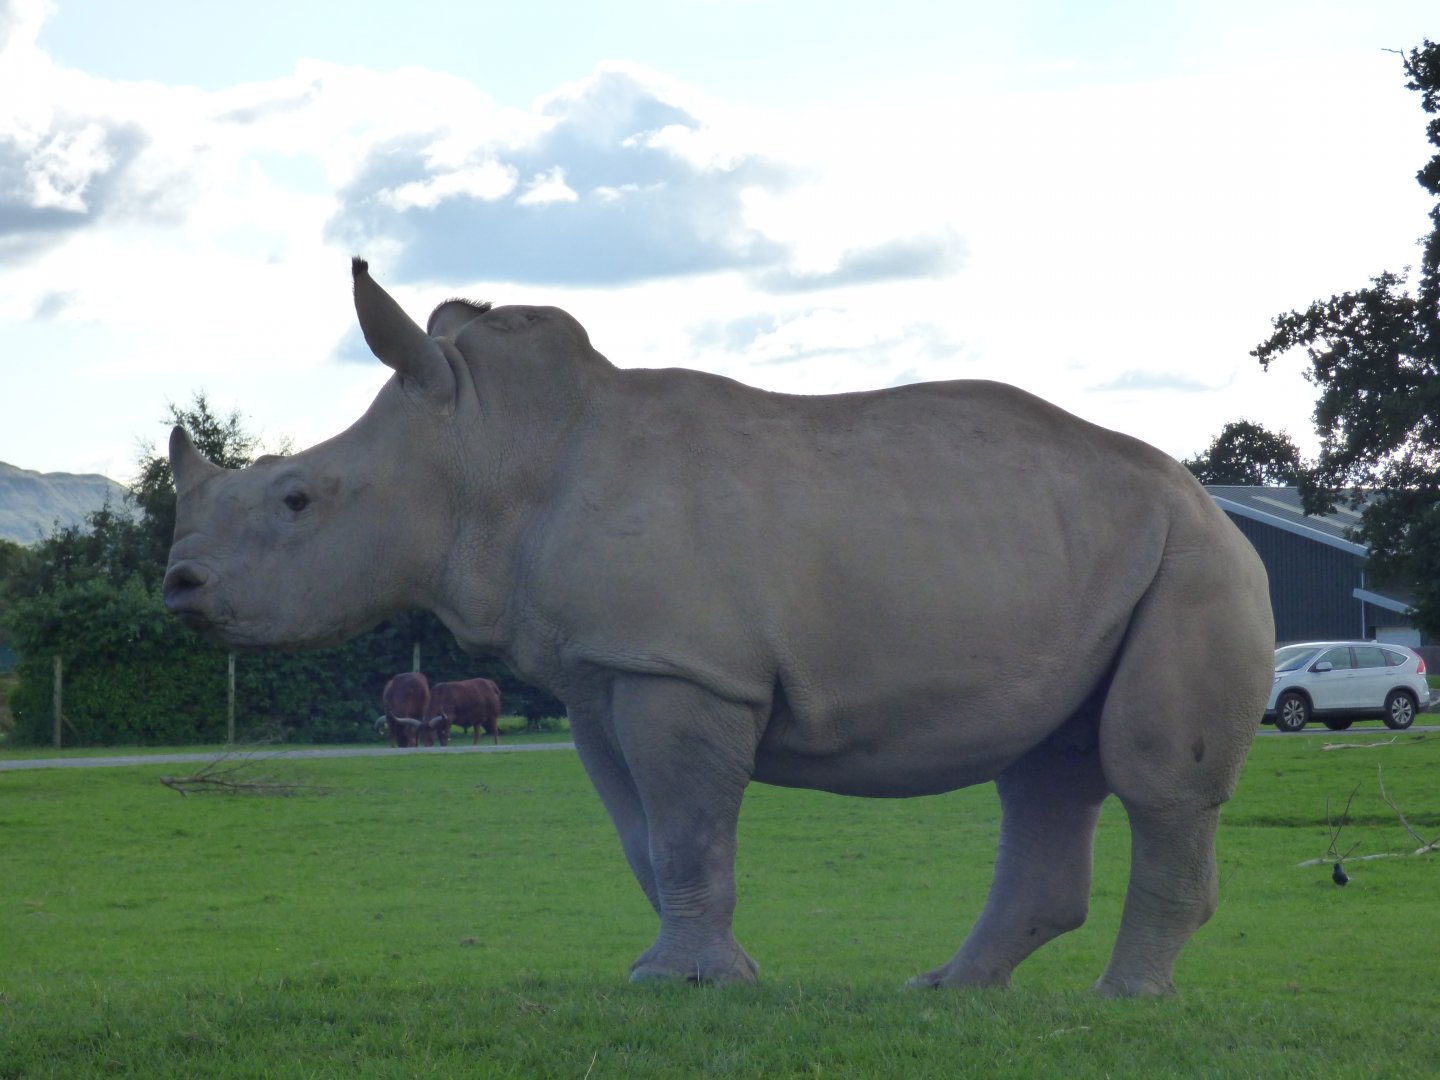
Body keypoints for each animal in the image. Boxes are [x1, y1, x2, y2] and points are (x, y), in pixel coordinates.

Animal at [163, 259, 1274, 996]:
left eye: (298, 500)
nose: (178, 586)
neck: (488, 446)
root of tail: (1217, 507)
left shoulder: (681, 668)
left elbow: (689, 825)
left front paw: (687, 984)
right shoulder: (600, 672)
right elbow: (644, 835)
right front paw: (695, 971)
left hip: (1195, 564)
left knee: (1150, 777)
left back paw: (1123, 1003)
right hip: (1095, 562)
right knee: (1046, 770)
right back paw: (948, 992)